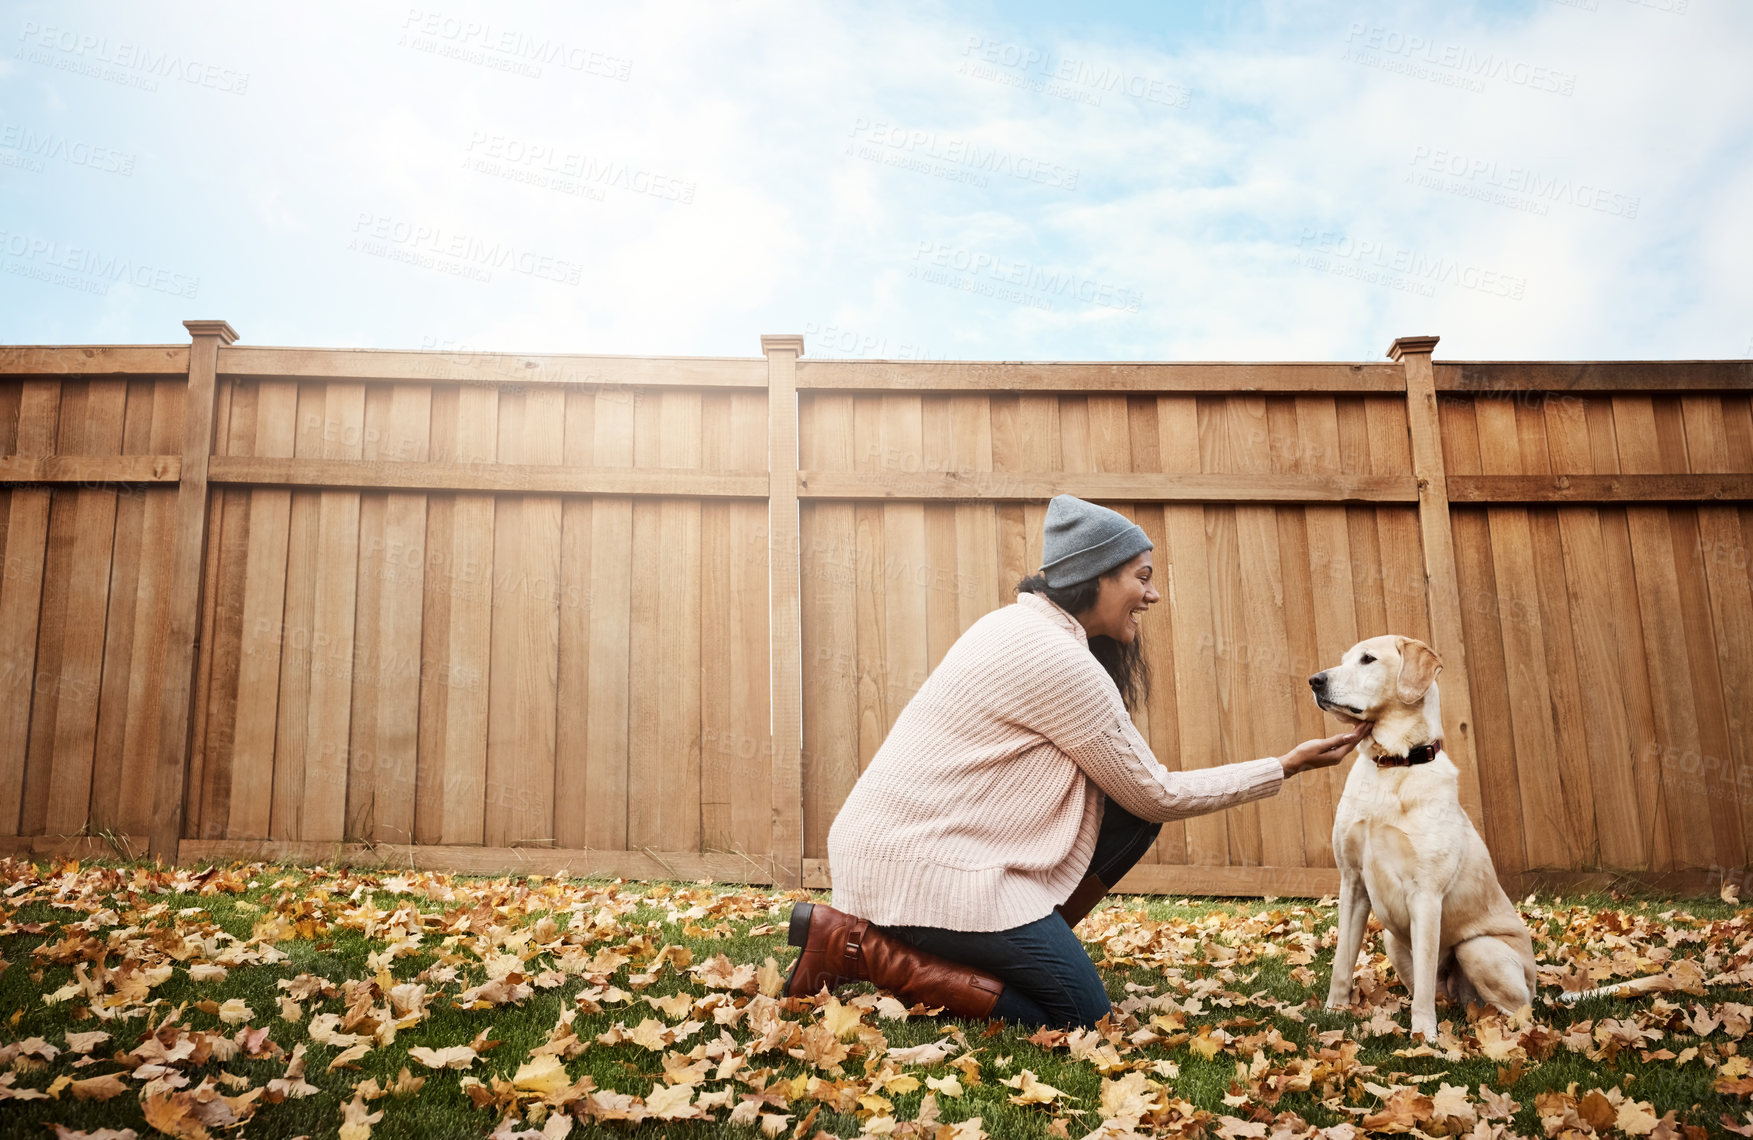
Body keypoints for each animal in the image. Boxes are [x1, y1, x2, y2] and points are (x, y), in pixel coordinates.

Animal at [1311, 634, 1542, 1031]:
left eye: (1367, 659)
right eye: (1343, 659)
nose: (1315, 680)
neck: (1392, 768)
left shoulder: (1427, 896)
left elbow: (1422, 983)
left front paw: (1424, 1036)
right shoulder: (1353, 883)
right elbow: (1342, 962)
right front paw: (1333, 1012)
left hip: (1478, 949)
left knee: (1517, 1012)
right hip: (1391, 939)